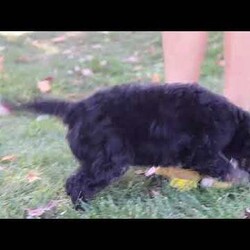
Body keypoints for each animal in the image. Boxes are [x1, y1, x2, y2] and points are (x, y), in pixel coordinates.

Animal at [14, 83, 250, 205]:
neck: (235, 122)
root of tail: (75, 109)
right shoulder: (202, 150)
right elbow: (224, 167)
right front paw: (241, 180)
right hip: (109, 159)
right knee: (77, 183)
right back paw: (83, 206)